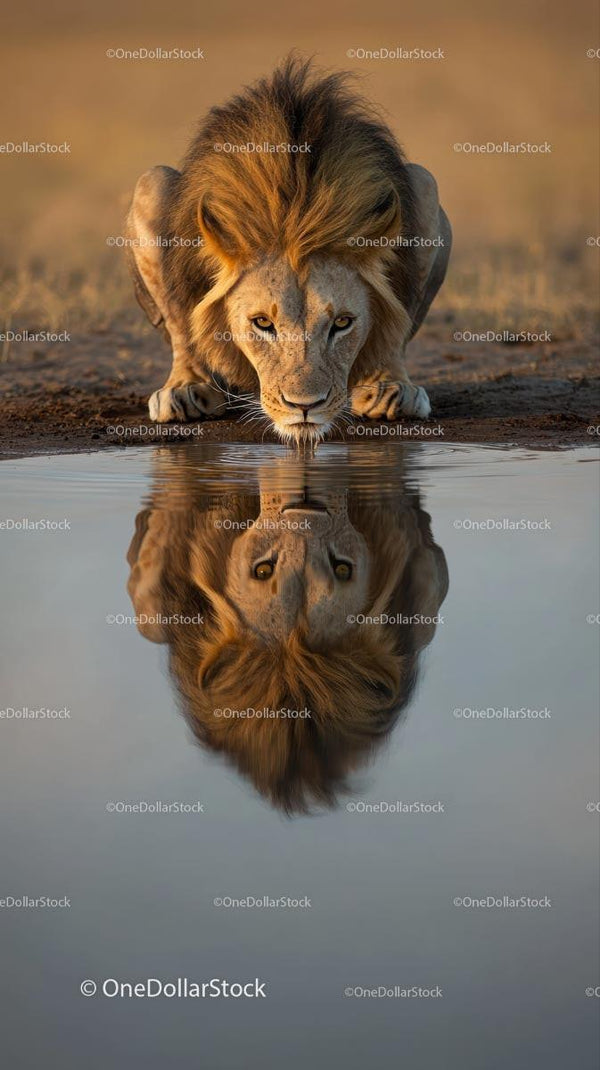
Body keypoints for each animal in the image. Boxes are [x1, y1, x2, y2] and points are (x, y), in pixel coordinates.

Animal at [126, 56, 452, 443]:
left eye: (343, 323)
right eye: (262, 323)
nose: (304, 406)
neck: (294, 213)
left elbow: (394, 322)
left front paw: (390, 386)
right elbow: (184, 320)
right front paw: (187, 386)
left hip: (425, 182)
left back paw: (388, 388)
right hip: (152, 182)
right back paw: (186, 390)